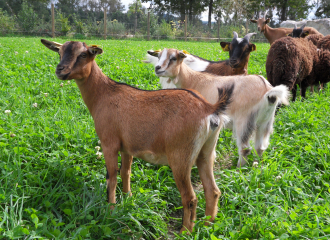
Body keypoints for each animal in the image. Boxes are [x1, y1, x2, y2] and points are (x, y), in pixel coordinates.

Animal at [40, 39, 233, 232]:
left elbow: (111, 177)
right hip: (206, 152)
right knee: (213, 191)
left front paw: (110, 213)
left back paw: (185, 231)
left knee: (190, 198)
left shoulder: (109, 143)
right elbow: (126, 172)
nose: (60, 70)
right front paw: (128, 199)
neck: (103, 94)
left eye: (82, 54)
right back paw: (207, 226)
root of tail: (209, 108)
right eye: (60, 52)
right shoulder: (127, 147)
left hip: (181, 156)